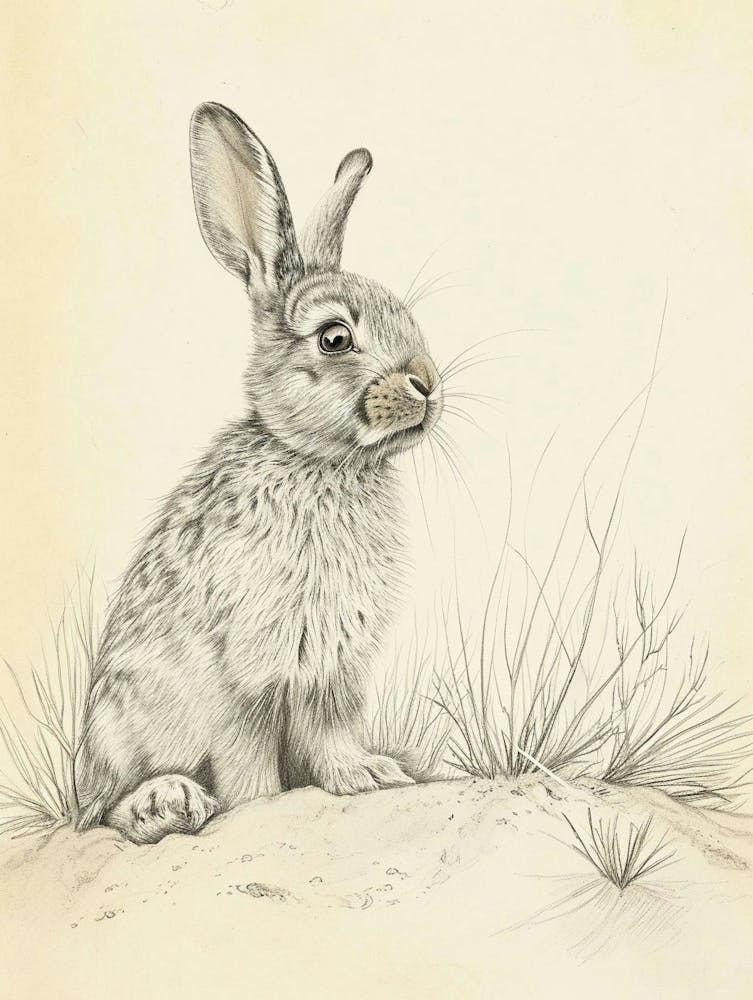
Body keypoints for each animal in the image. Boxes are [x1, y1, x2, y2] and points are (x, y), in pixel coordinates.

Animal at [74, 102, 444, 845]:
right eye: (335, 338)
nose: (427, 383)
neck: (320, 461)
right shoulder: (246, 675)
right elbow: (249, 769)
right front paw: (258, 805)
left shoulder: (330, 671)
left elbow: (330, 738)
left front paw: (368, 775)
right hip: (127, 723)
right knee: (104, 810)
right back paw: (166, 803)